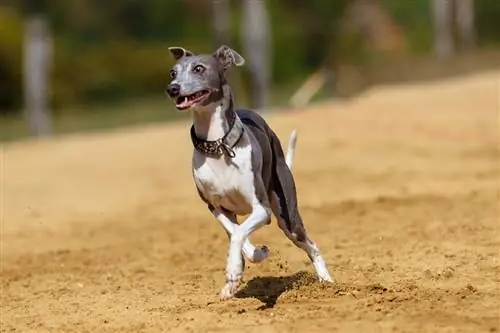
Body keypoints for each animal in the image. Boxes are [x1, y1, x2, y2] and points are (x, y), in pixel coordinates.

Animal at [166, 44, 334, 298]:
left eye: (199, 68)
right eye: (173, 72)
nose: (172, 89)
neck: (219, 146)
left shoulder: (262, 209)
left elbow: (238, 233)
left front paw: (235, 269)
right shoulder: (215, 207)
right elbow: (236, 232)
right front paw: (250, 260)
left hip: (288, 217)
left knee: (311, 245)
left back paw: (327, 281)